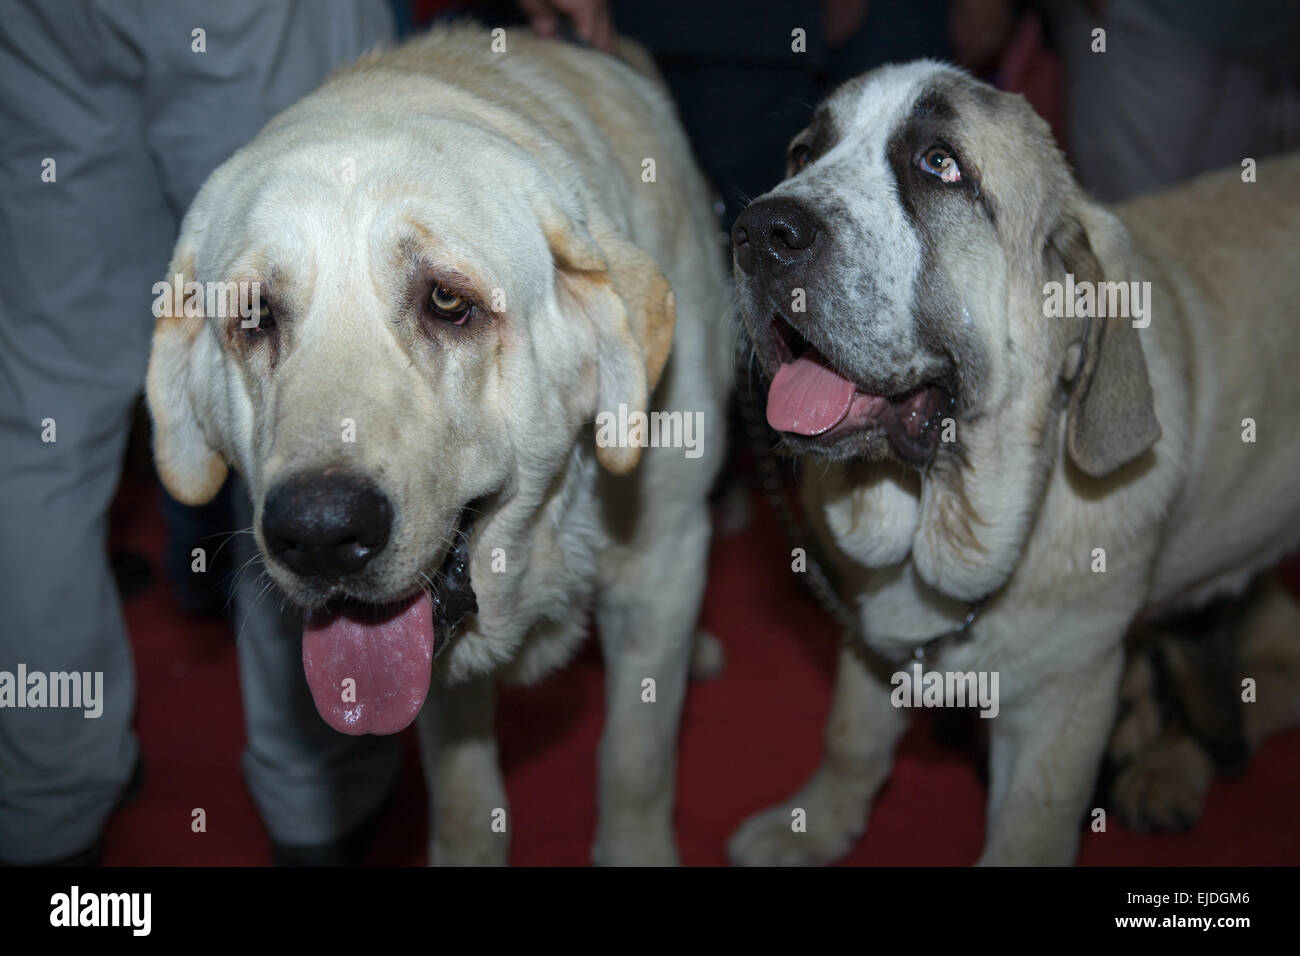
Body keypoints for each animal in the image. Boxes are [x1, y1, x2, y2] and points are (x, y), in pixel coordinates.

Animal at [728, 59, 1300, 868]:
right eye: (804, 154)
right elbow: (852, 737)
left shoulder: (1063, 702)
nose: (757, 233)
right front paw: (812, 822)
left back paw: (1165, 775)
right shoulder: (871, 636)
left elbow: (1030, 826)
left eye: (940, 164)